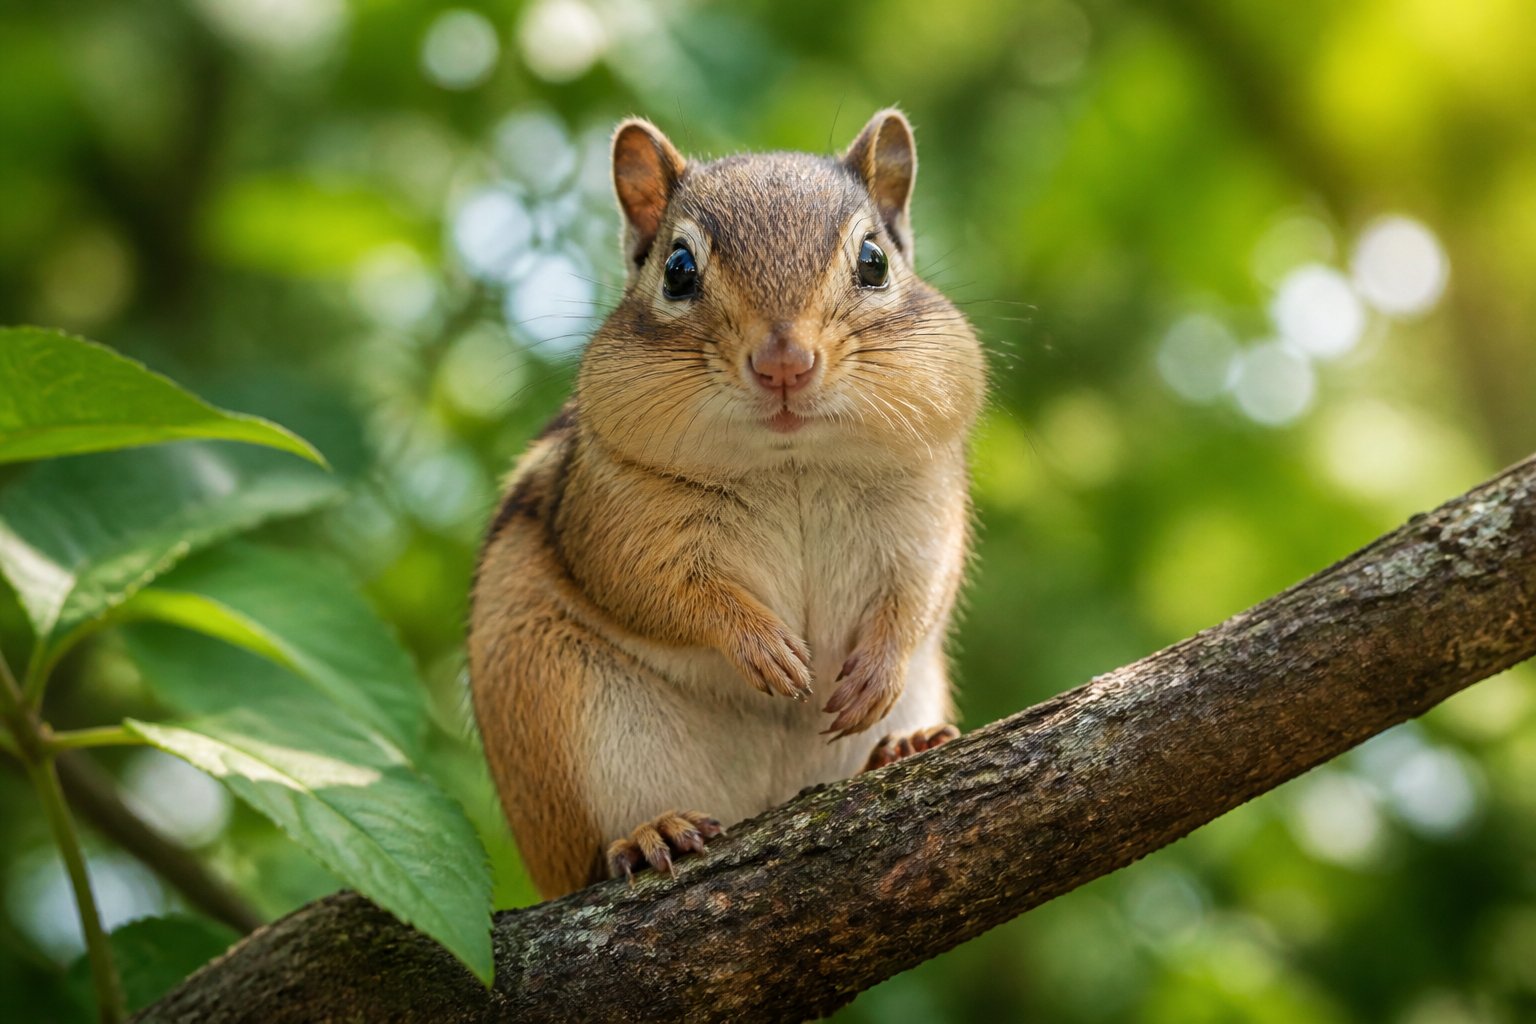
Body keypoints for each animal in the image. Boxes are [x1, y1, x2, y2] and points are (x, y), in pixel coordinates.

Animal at [469, 109, 986, 898]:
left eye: (874, 262)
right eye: (678, 271)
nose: (784, 363)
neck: (793, 465)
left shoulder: (925, 509)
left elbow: (919, 594)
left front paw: (878, 670)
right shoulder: (617, 517)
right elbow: (662, 590)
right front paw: (765, 648)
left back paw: (902, 745)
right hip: (552, 704)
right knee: (593, 855)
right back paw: (648, 834)